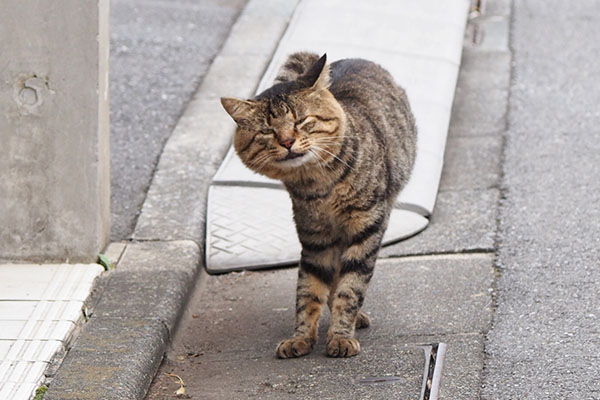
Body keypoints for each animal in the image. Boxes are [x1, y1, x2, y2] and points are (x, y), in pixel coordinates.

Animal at [221, 52, 418, 356]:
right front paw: (301, 337)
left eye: (301, 121)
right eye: (267, 131)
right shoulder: (315, 239)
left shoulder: (365, 228)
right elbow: (309, 290)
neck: (318, 184)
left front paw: (341, 335)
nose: (287, 141)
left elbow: (351, 287)